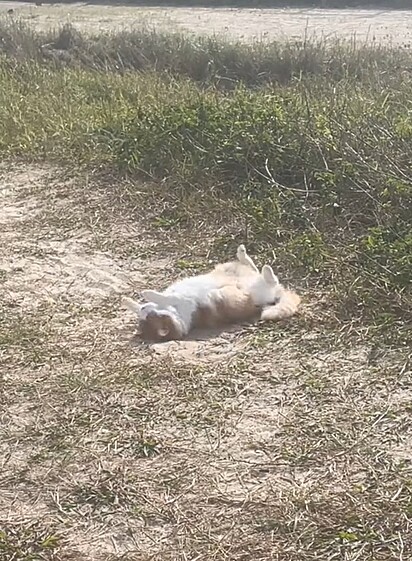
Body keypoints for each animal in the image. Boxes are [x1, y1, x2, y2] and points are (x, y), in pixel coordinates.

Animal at [122, 244, 300, 342]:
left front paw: (131, 300)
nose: (144, 308)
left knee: (255, 269)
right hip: (256, 290)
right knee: (270, 279)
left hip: (234, 272)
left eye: (148, 313)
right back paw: (262, 267)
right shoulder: (184, 301)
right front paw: (146, 295)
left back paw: (243, 253)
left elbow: (163, 297)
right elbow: (166, 297)